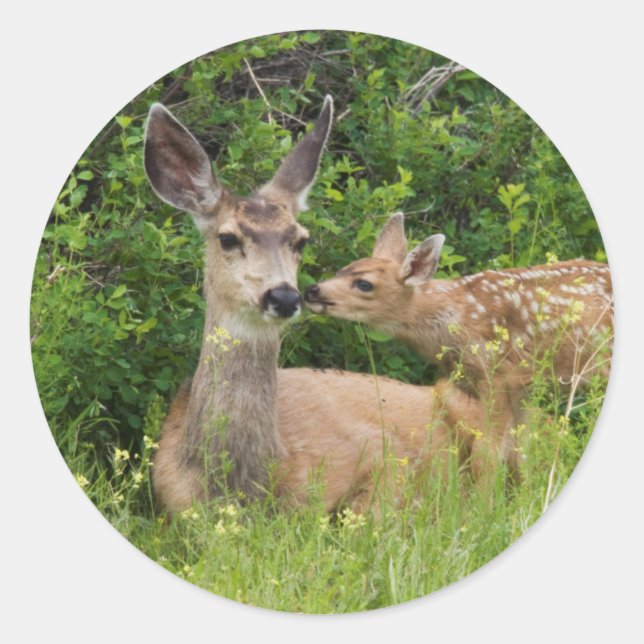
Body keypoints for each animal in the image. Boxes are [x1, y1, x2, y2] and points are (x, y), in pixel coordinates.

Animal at [304, 212, 613, 475]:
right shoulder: (522, 386)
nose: (312, 290)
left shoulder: (498, 374)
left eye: (364, 284)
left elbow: (487, 454)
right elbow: (522, 453)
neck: (456, 317)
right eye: (343, 270)